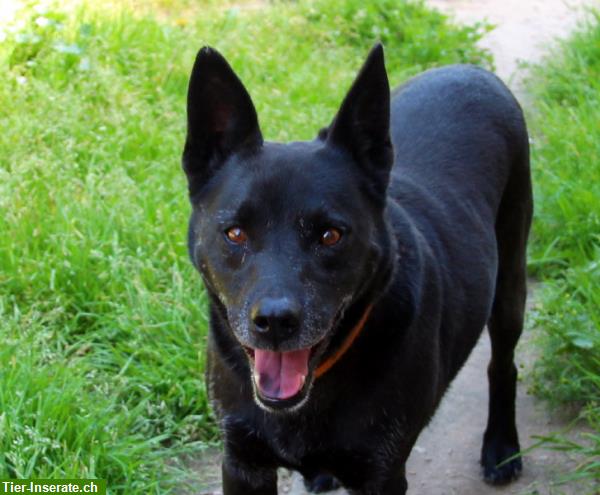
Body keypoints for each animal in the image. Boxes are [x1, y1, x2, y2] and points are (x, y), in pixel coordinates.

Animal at [180, 44, 532, 494]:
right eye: (235, 233)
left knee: (503, 363)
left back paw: (502, 447)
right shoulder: (242, 462)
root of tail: (470, 70)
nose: (275, 322)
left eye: (331, 235)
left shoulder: (381, 474)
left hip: (510, 282)